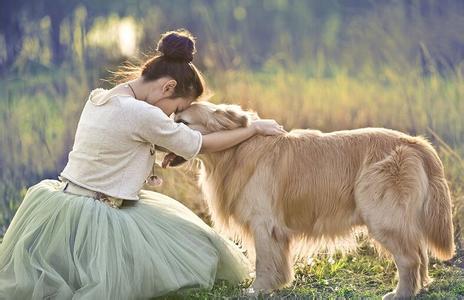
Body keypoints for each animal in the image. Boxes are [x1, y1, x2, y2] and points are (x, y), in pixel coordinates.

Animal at [169, 102, 454, 298]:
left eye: (183, 121)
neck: (236, 150)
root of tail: (416, 143)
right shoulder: (275, 230)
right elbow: (278, 263)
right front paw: (277, 285)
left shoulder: (263, 223)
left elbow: (262, 262)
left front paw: (256, 290)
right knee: (420, 255)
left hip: (383, 216)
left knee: (410, 259)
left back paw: (400, 293)